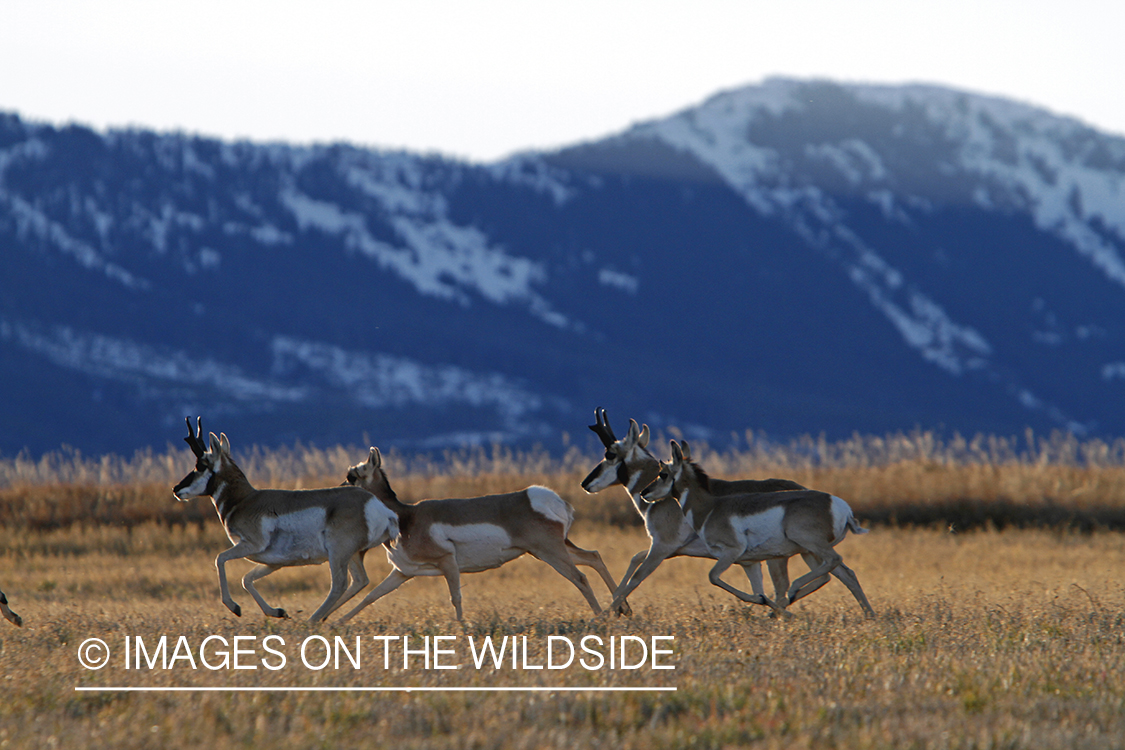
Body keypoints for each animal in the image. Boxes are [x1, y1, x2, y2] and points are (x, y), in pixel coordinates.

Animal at [173, 420, 402, 625]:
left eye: (200, 465)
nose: (176, 489)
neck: (244, 500)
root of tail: (379, 507)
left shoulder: (250, 545)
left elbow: (219, 559)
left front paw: (235, 607)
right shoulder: (274, 562)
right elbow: (247, 579)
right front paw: (278, 612)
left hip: (338, 553)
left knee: (339, 584)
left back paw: (311, 621)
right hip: (353, 555)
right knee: (360, 581)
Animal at [337, 449, 630, 625]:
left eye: (352, 476)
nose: (335, 491)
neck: (406, 516)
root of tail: (549, 498)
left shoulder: (448, 562)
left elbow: (455, 597)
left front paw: (461, 629)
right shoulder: (403, 572)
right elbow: (371, 596)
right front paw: (339, 622)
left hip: (551, 552)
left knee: (580, 577)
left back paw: (600, 617)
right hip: (552, 550)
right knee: (594, 557)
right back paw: (622, 609)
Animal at [580, 411, 810, 611]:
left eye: (610, 454)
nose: (585, 483)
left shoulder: (662, 546)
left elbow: (637, 577)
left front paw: (607, 614)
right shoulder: (674, 549)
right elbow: (635, 557)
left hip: (778, 556)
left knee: (784, 589)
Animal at [639, 440, 873, 616]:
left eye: (662, 473)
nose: (644, 492)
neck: (710, 508)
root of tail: (840, 505)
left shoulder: (731, 553)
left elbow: (713, 577)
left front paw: (769, 604)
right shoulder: (749, 562)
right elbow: (756, 590)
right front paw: (767, 603)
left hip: (808, 544)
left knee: (833, 563)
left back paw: (793, 591)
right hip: (809, 551)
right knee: (842, 574)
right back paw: (869, 615)